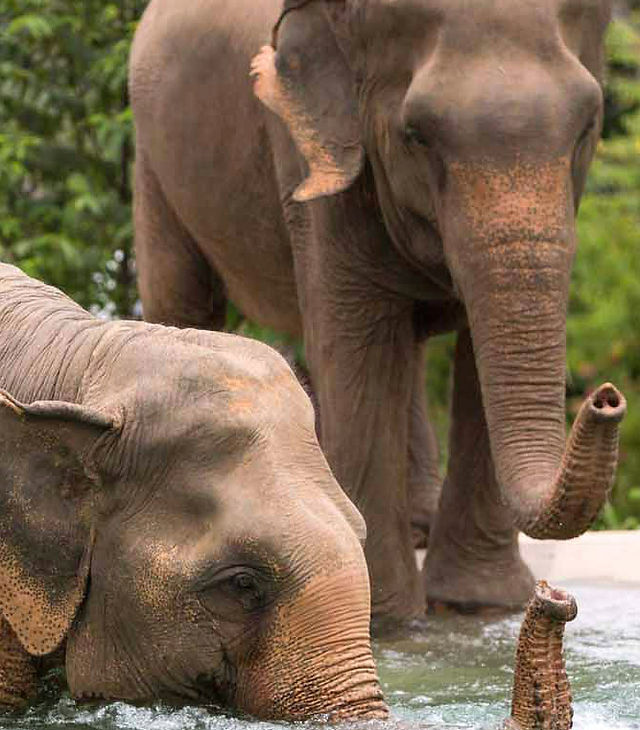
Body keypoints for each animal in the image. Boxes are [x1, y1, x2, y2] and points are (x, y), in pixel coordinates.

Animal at [129, 0, 626, 625]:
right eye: (417, 135)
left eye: (588, 125)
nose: (606, 398)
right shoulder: (309, 148)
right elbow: (356, 343)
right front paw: (388, 617)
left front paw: (478, 605)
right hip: (153, 160)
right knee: (185, 300)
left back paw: (421, 530)